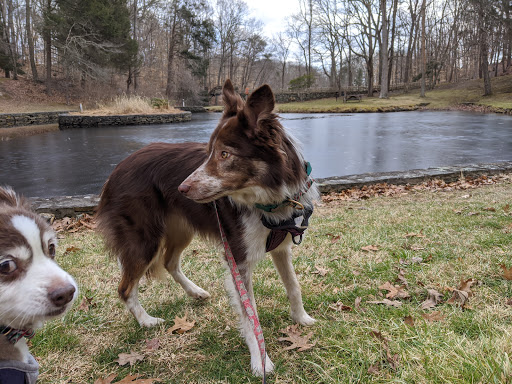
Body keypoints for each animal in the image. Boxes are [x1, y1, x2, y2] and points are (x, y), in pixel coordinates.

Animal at [95, 79, 316, 376]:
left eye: (224, 154)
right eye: (209, 151)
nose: (181, 188)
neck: (269, 198)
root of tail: (115, 171)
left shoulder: (280, 246)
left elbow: (293, 285)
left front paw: (301, 317)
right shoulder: (237, 257)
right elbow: (250, 314)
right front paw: (260, 360)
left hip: (181, 230)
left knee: (169, 262)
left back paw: (195, 292)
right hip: (144, 241)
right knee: (126, 287)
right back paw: (146, 321)